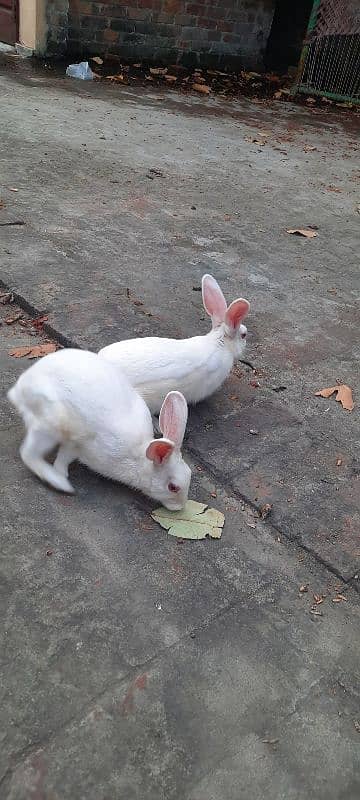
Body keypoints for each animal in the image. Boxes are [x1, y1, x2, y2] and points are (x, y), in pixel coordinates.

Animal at [7, 346, 191, 510]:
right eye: (173, 487)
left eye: (190, 474)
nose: (180, 507)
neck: (140, 458)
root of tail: (20, 389)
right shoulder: (78, 445)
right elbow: (63, 460)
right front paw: (61, 475)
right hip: (50, 425)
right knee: (28, 453)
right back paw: (58, 482)